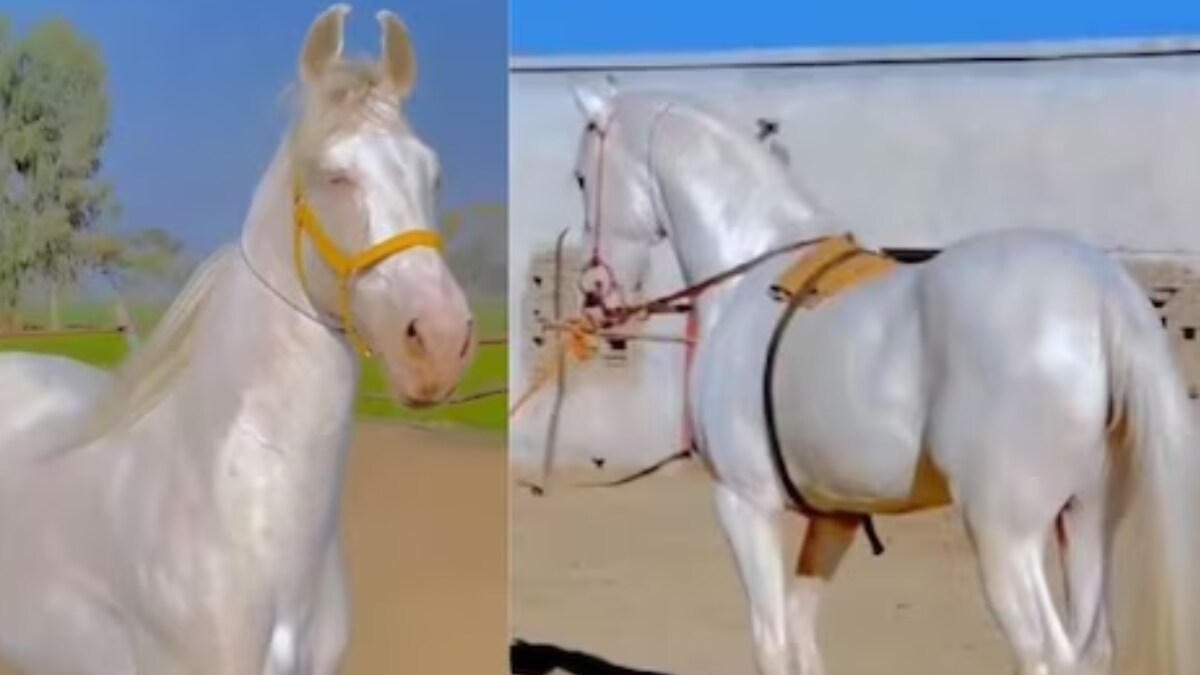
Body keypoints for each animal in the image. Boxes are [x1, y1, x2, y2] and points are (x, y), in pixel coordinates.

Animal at [564, 82, 1200, 675]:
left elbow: (771, 642)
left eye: (580, 178)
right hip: (1085, 519)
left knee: (1048, 655)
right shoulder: (836, 515)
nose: (597, 293)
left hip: (1006, 538)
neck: (750, 273)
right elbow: (801, 633)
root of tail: (1098, 288)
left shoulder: (744, 503)